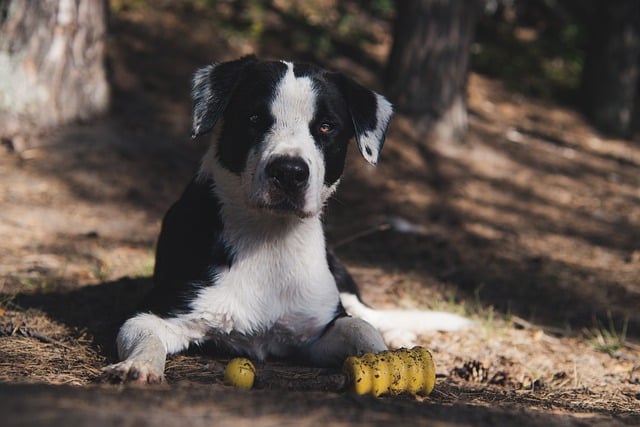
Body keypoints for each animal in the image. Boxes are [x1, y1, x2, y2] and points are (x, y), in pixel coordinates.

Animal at [102, 56, 468, 384]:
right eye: (253, 118)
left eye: (326, 126)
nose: (289, 172)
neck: (270, 237)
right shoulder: (156, 313)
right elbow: (145, 337)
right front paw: (138, 367)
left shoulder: (319, 330)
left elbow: (361, 330)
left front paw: (390, 364)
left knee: (369, 314)